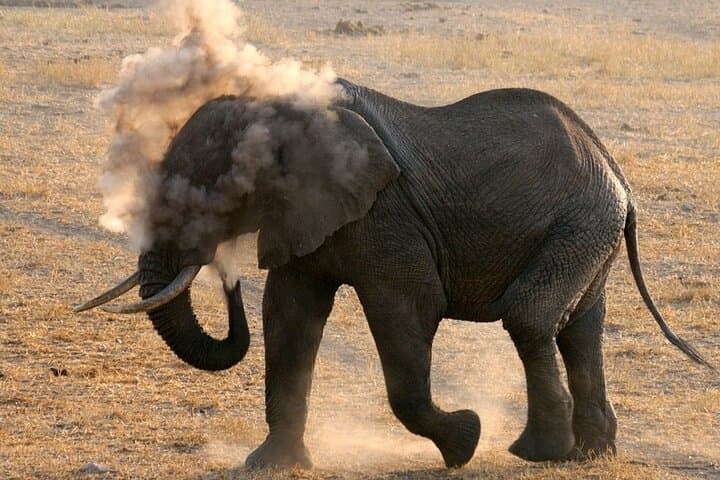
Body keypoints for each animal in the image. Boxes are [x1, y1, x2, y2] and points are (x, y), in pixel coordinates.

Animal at [76, 78, 710, 469]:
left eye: (212, 195)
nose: (224, 273)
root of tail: (615, 170)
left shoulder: (388, 218)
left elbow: (407, 311)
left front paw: (464, 441)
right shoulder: (305, 211)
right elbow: (289, 315)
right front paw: (269, 466)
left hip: (579, 223)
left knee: (531, 318)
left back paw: (536, 453)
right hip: (588, 227)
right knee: (578, 329)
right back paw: (588, 455)